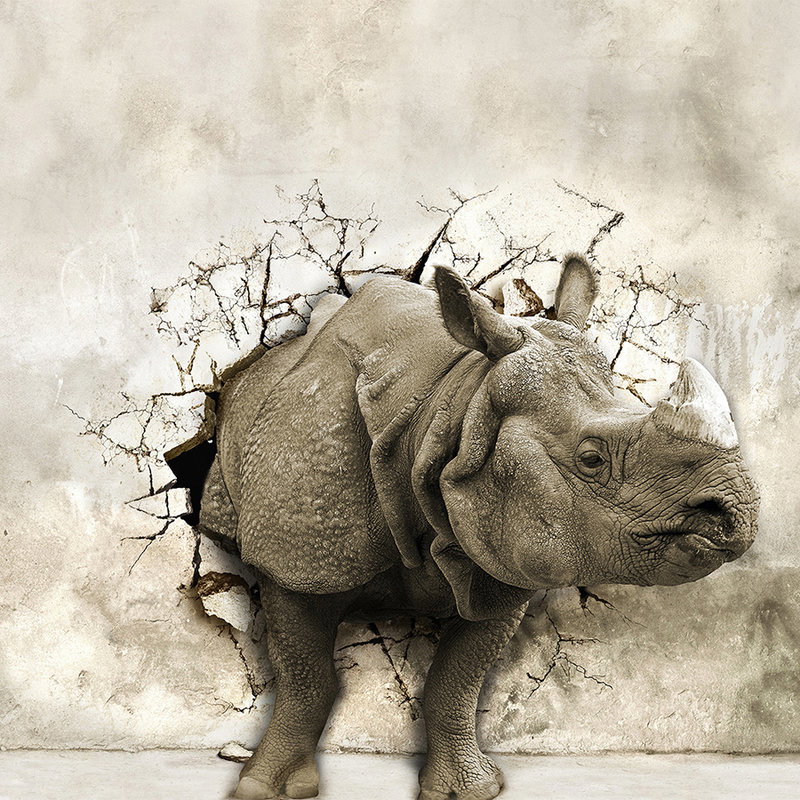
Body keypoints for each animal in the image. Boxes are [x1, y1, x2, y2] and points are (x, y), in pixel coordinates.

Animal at [193, 255, 758, 800]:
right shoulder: (296, 558)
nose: (736, 517)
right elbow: (306, 679)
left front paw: (471, 790)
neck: (451, 410)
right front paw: (265, 789)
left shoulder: (497, 551)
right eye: (592, 459)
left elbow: (457, 681)